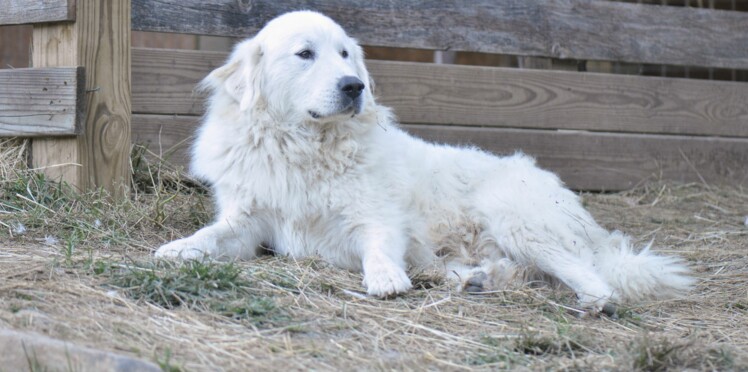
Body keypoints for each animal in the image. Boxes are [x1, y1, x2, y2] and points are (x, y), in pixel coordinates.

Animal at [155, 10, 692, 310]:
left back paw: (590, 305)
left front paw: (385, 278)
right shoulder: (248, 222)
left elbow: (377, 245)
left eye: (345, 54)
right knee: (515, 271)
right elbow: (212, 234)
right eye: (305, 54)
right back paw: (475, 280)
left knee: (596, 280)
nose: (355, 86)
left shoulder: (374, 217)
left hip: (516, 217)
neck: (304, 145)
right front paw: (178, 248)